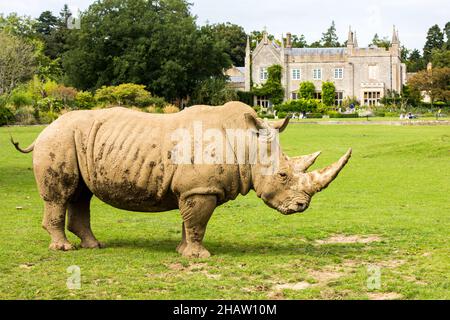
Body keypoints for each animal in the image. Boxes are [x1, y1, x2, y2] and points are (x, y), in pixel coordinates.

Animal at [11, 102, 352, 258]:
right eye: (282, 175)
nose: (302, 206)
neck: (246, 143)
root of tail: (45, 128)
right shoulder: (201, 189)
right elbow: (198, 223)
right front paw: (201, 257)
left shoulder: (191, 189)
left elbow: (189, 223)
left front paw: (183, 251)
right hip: (59, 140)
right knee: (61, 195)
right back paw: (64, 249)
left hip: (72, 140)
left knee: (81, 195)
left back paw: (95, 246)